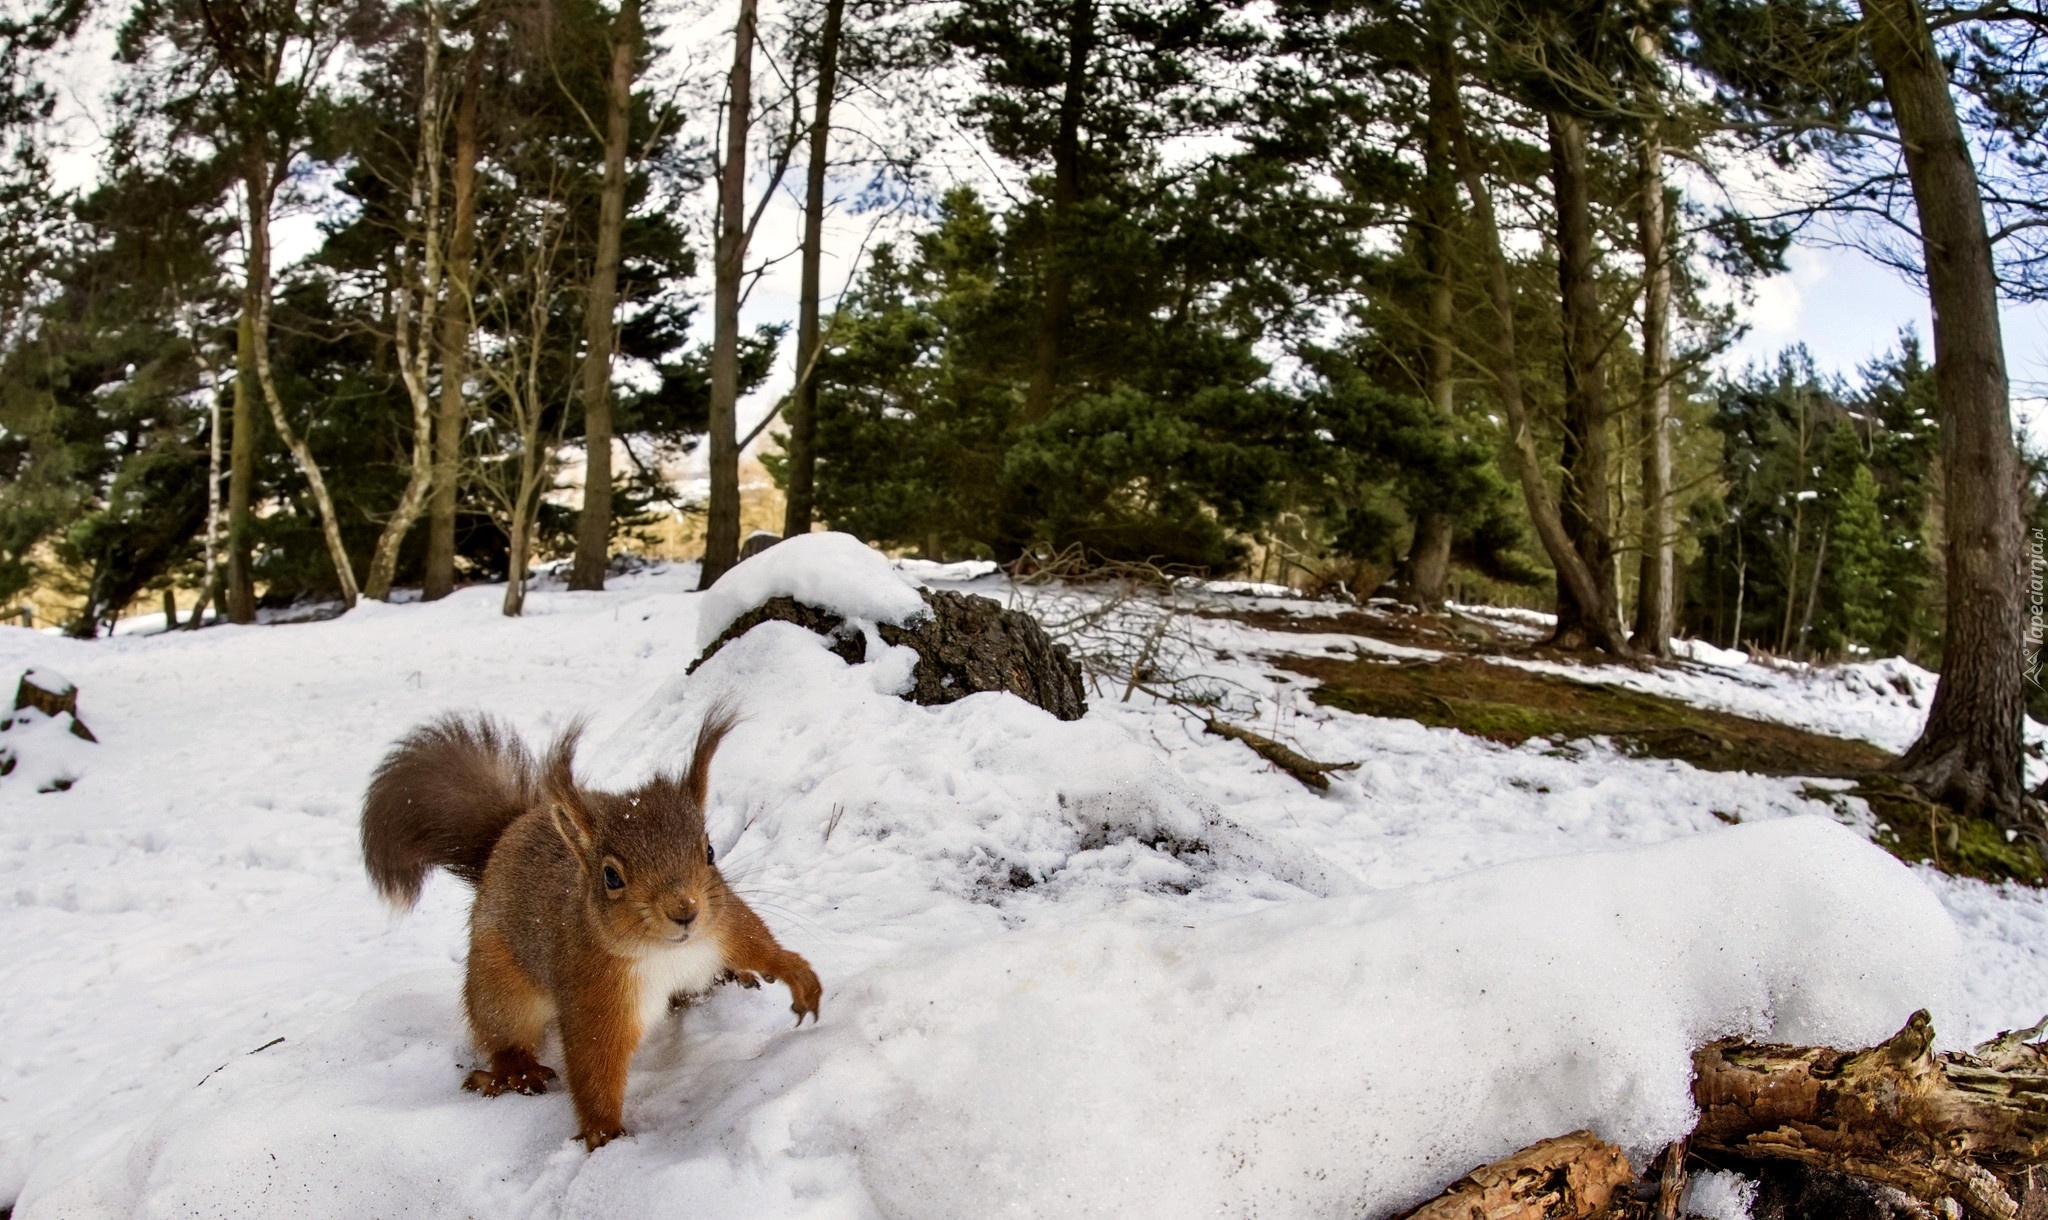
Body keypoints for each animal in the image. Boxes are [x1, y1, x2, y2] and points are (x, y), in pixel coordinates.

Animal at [360, 708, 815, 1146]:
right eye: (611, 877)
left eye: (709, 851)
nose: (684, 911)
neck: (668, 952)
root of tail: (505, 837)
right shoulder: (593, 989)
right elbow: (593, 1060)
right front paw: (603, 1133)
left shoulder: (722, 924)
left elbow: (757, 942)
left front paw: (797, 974)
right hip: (499, 983)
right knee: (500, 1032)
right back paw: (515, 1071)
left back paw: (726, 978)